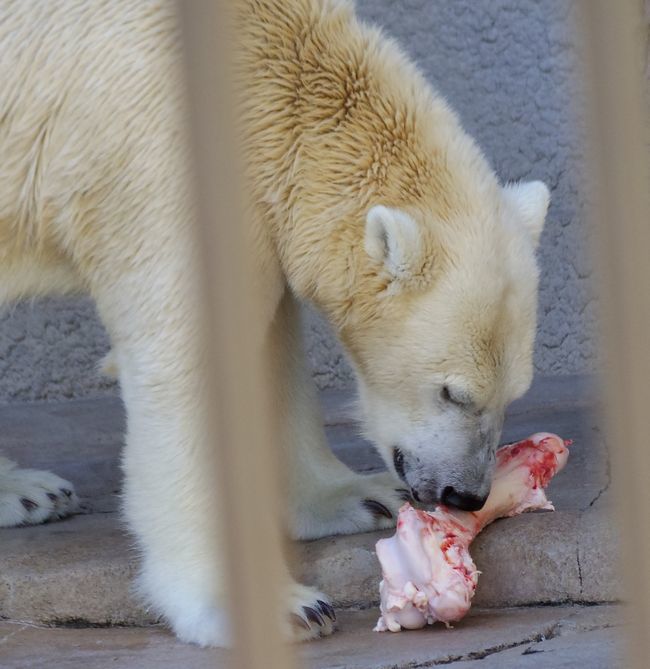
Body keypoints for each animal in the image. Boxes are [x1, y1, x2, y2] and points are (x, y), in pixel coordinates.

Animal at [0, 0, 548, 648]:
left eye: (512, 394)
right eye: (452, 392)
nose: (463, 494)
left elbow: (268, 342)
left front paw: (361, 496)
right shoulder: (155, 162)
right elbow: (181, 366)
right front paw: (279, 607)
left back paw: (29, 492)